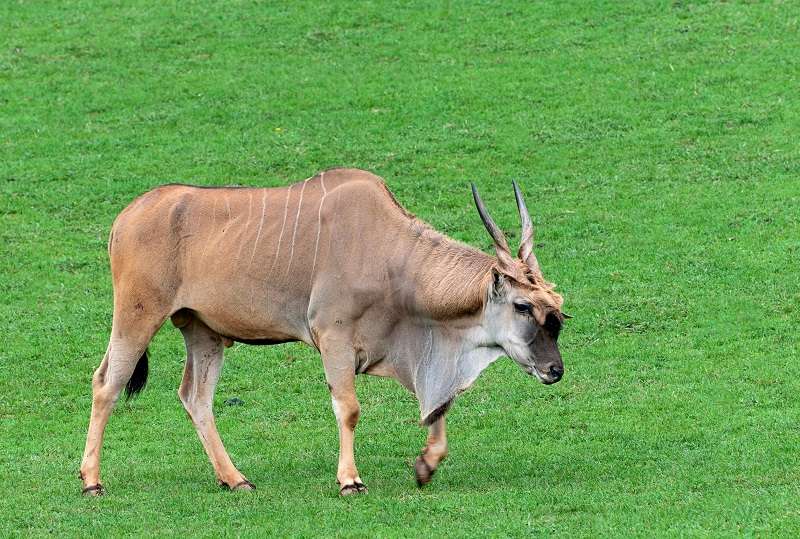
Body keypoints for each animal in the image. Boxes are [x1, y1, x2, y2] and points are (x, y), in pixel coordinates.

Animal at [79, 168, 567, 496]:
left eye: (559, 309)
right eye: (523, 306)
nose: (554, 370)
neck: (389, 254)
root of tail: (124, 219)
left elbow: (435, 406)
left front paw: (425, 466)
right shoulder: (332, 337)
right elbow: (348, 408)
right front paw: (349, 479)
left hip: (203, 331)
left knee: (195, 397)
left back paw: (234, 479)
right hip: (137, 315)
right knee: (106, 383)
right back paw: (91, 481)